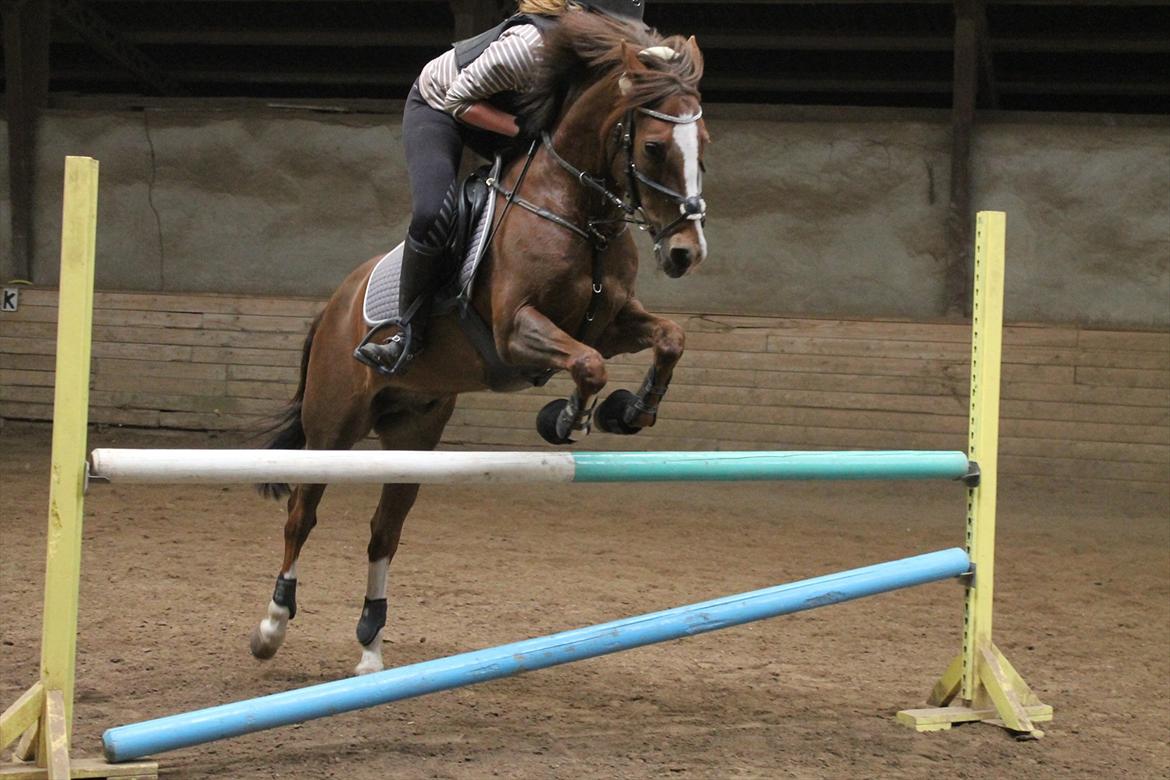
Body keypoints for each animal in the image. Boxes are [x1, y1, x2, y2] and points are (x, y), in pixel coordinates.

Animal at [250, 9, 709, 675]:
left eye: (706, 148)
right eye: (652, 146)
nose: (684, 254)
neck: (579, 210)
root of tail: (335, 304)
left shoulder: (612, 322)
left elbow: (669, 338)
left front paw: (631, 411)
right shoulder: (515, 330)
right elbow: (588, 366)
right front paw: (566, 418)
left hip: (413, 432)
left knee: (384, 529)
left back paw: (370, 647)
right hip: (332, 427)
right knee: (301, 514)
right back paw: (272, 624)